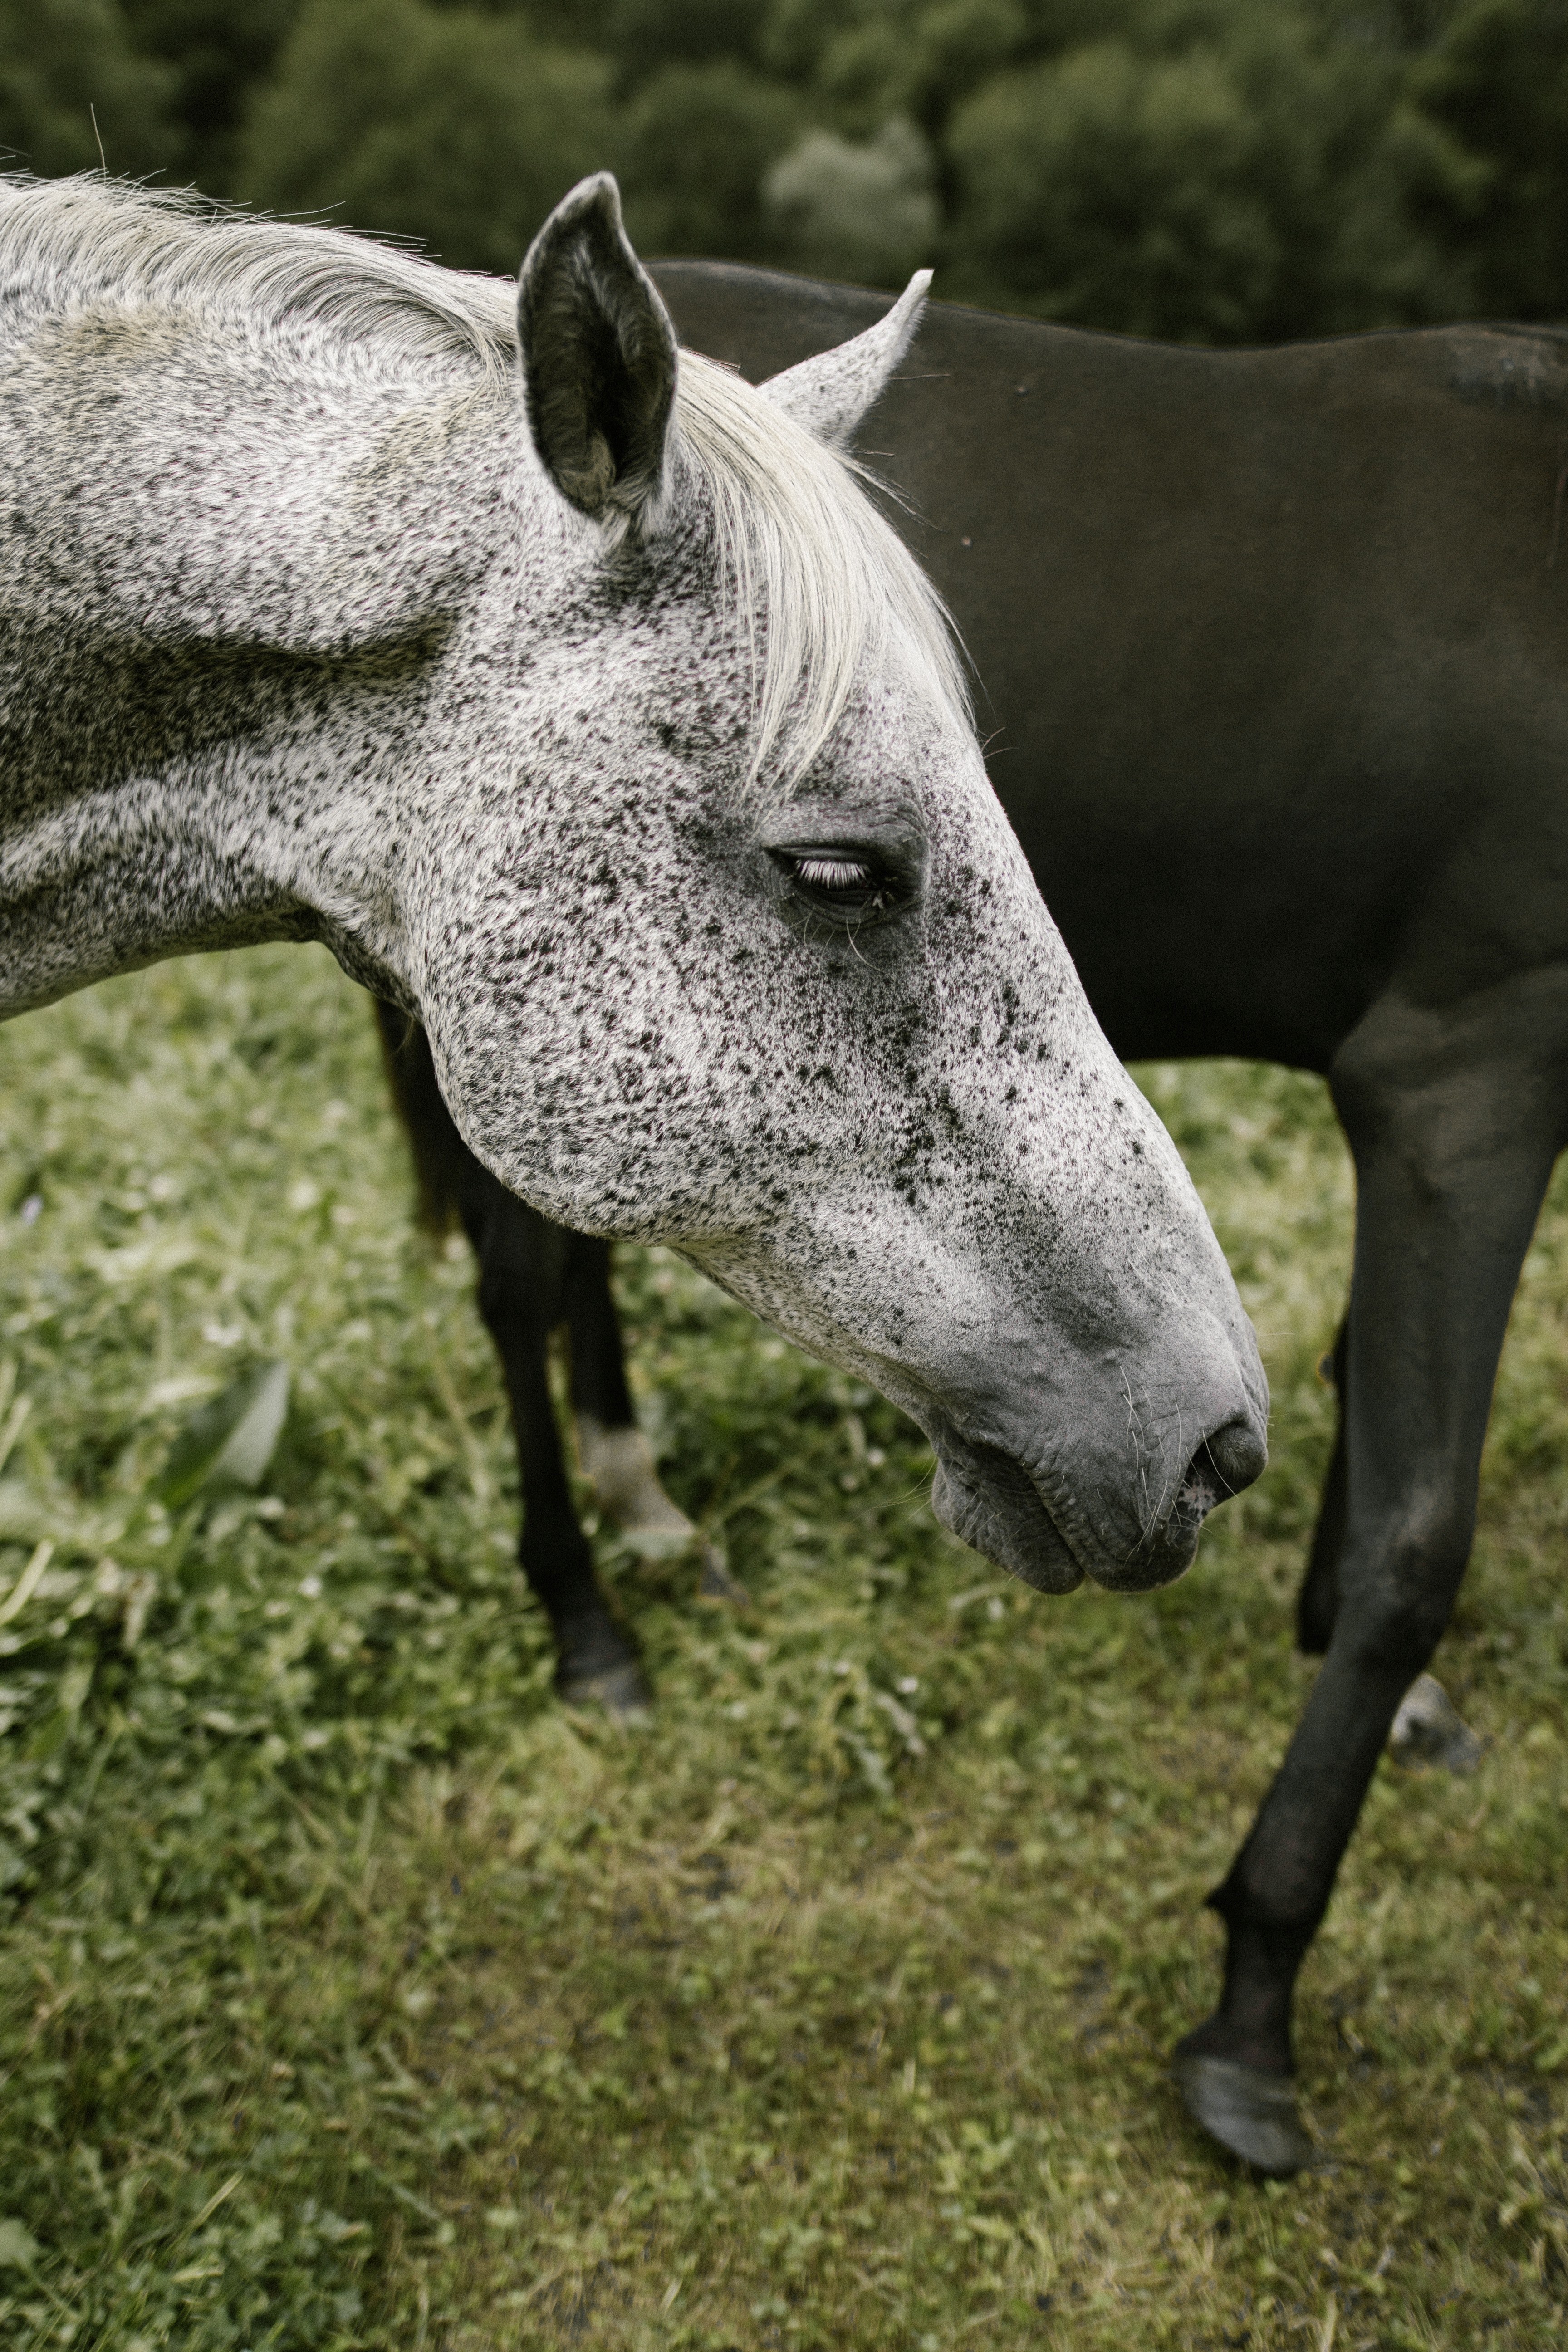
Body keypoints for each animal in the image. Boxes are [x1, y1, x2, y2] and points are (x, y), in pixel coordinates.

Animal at [376, 257, 1568, 2179]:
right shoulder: (1465, 1073)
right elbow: (1415, 1536)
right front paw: (1251, 2011)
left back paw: (645, 1510)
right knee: (519, 1282)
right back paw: (588, 1620)